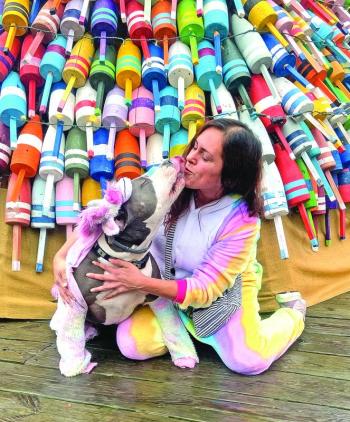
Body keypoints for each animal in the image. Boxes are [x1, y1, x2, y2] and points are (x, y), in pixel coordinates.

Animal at [51, 157, 200, 376]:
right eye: (144, 183)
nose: (171, 159)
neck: (126, 257)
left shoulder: (157, 297)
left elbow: (173, 328)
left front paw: (184, 357)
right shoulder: (76, 303)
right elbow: (71, 337)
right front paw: (76, 367)